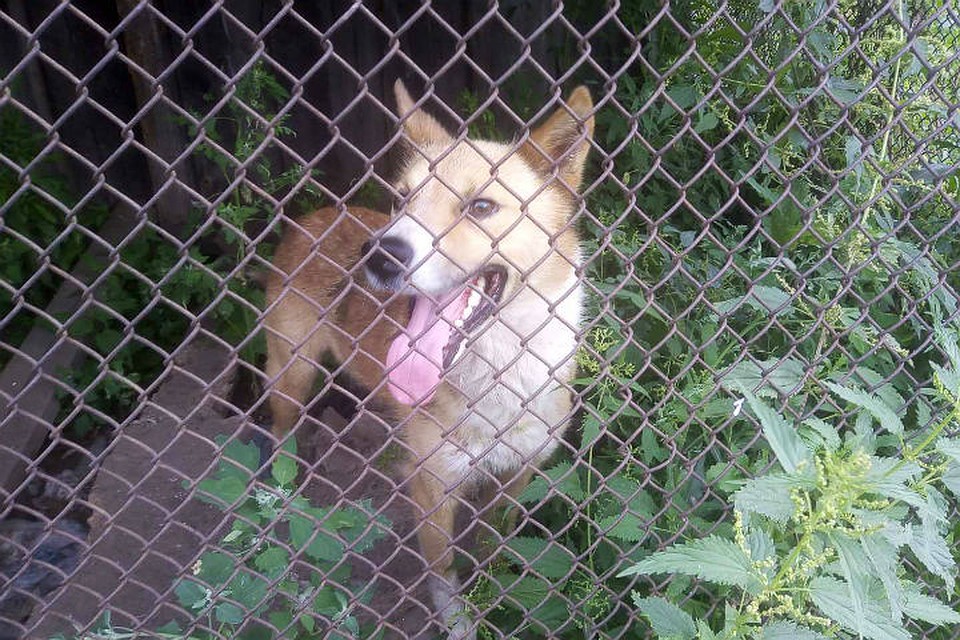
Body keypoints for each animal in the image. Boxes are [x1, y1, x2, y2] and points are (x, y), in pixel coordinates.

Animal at [264, 82, 592, 636]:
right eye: (402, 198)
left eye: (481, 205)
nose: (380, 254)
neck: (500, 380)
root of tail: (312, 217)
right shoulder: (433, 488)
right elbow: (444, 573)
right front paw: (460, 621)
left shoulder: (519, 475)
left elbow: (495, 546)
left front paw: (496, 587)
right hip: (291, 374)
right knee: (281, 431)